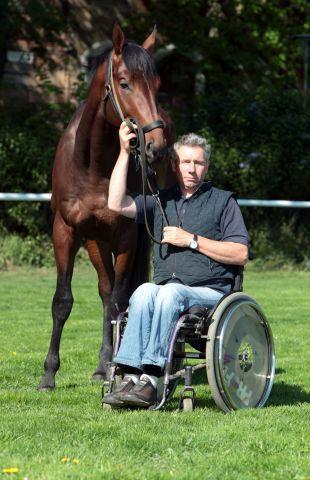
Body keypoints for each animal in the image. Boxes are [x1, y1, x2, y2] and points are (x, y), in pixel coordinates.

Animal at [37, 23, 173, 390]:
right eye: (124, 82)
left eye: (158, 84)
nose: (155, 146)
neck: (92, 165)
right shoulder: (65, 231)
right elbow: (62, 301)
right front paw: (48, 374)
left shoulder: (127, 236)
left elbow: (119, 303)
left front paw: (118, 367)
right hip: (96, 241)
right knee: (104, 289)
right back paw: (101, 365)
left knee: (115, 298)